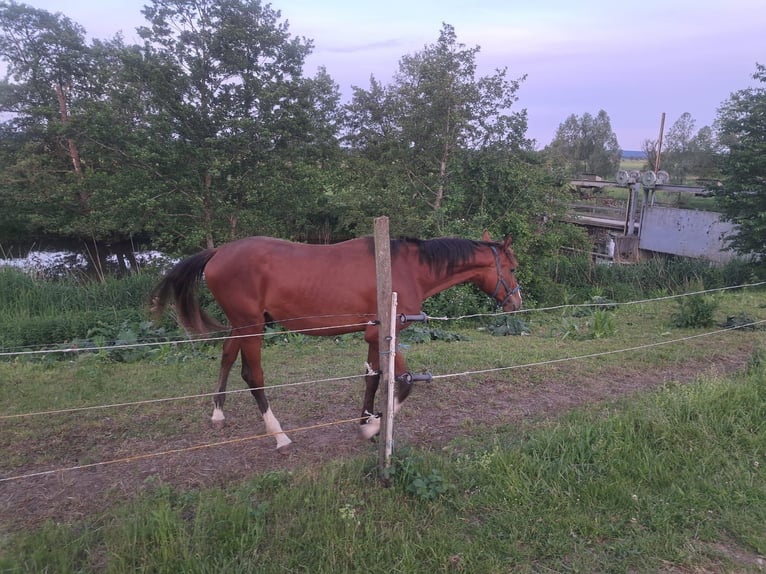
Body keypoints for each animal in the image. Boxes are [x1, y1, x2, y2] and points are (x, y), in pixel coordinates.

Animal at [152, 232, 520, 452]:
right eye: (513, 268)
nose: (516, 302)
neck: (404, 269)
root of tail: (218, 252)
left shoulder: (373, 334)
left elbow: (373, 377)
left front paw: (367, 421)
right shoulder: (387, 333)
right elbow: (403, 382)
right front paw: (374, 428)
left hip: (241, 325)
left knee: (227, 357)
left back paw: (218, 414)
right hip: (251, 327)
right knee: (252, 376)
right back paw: (279, 436)